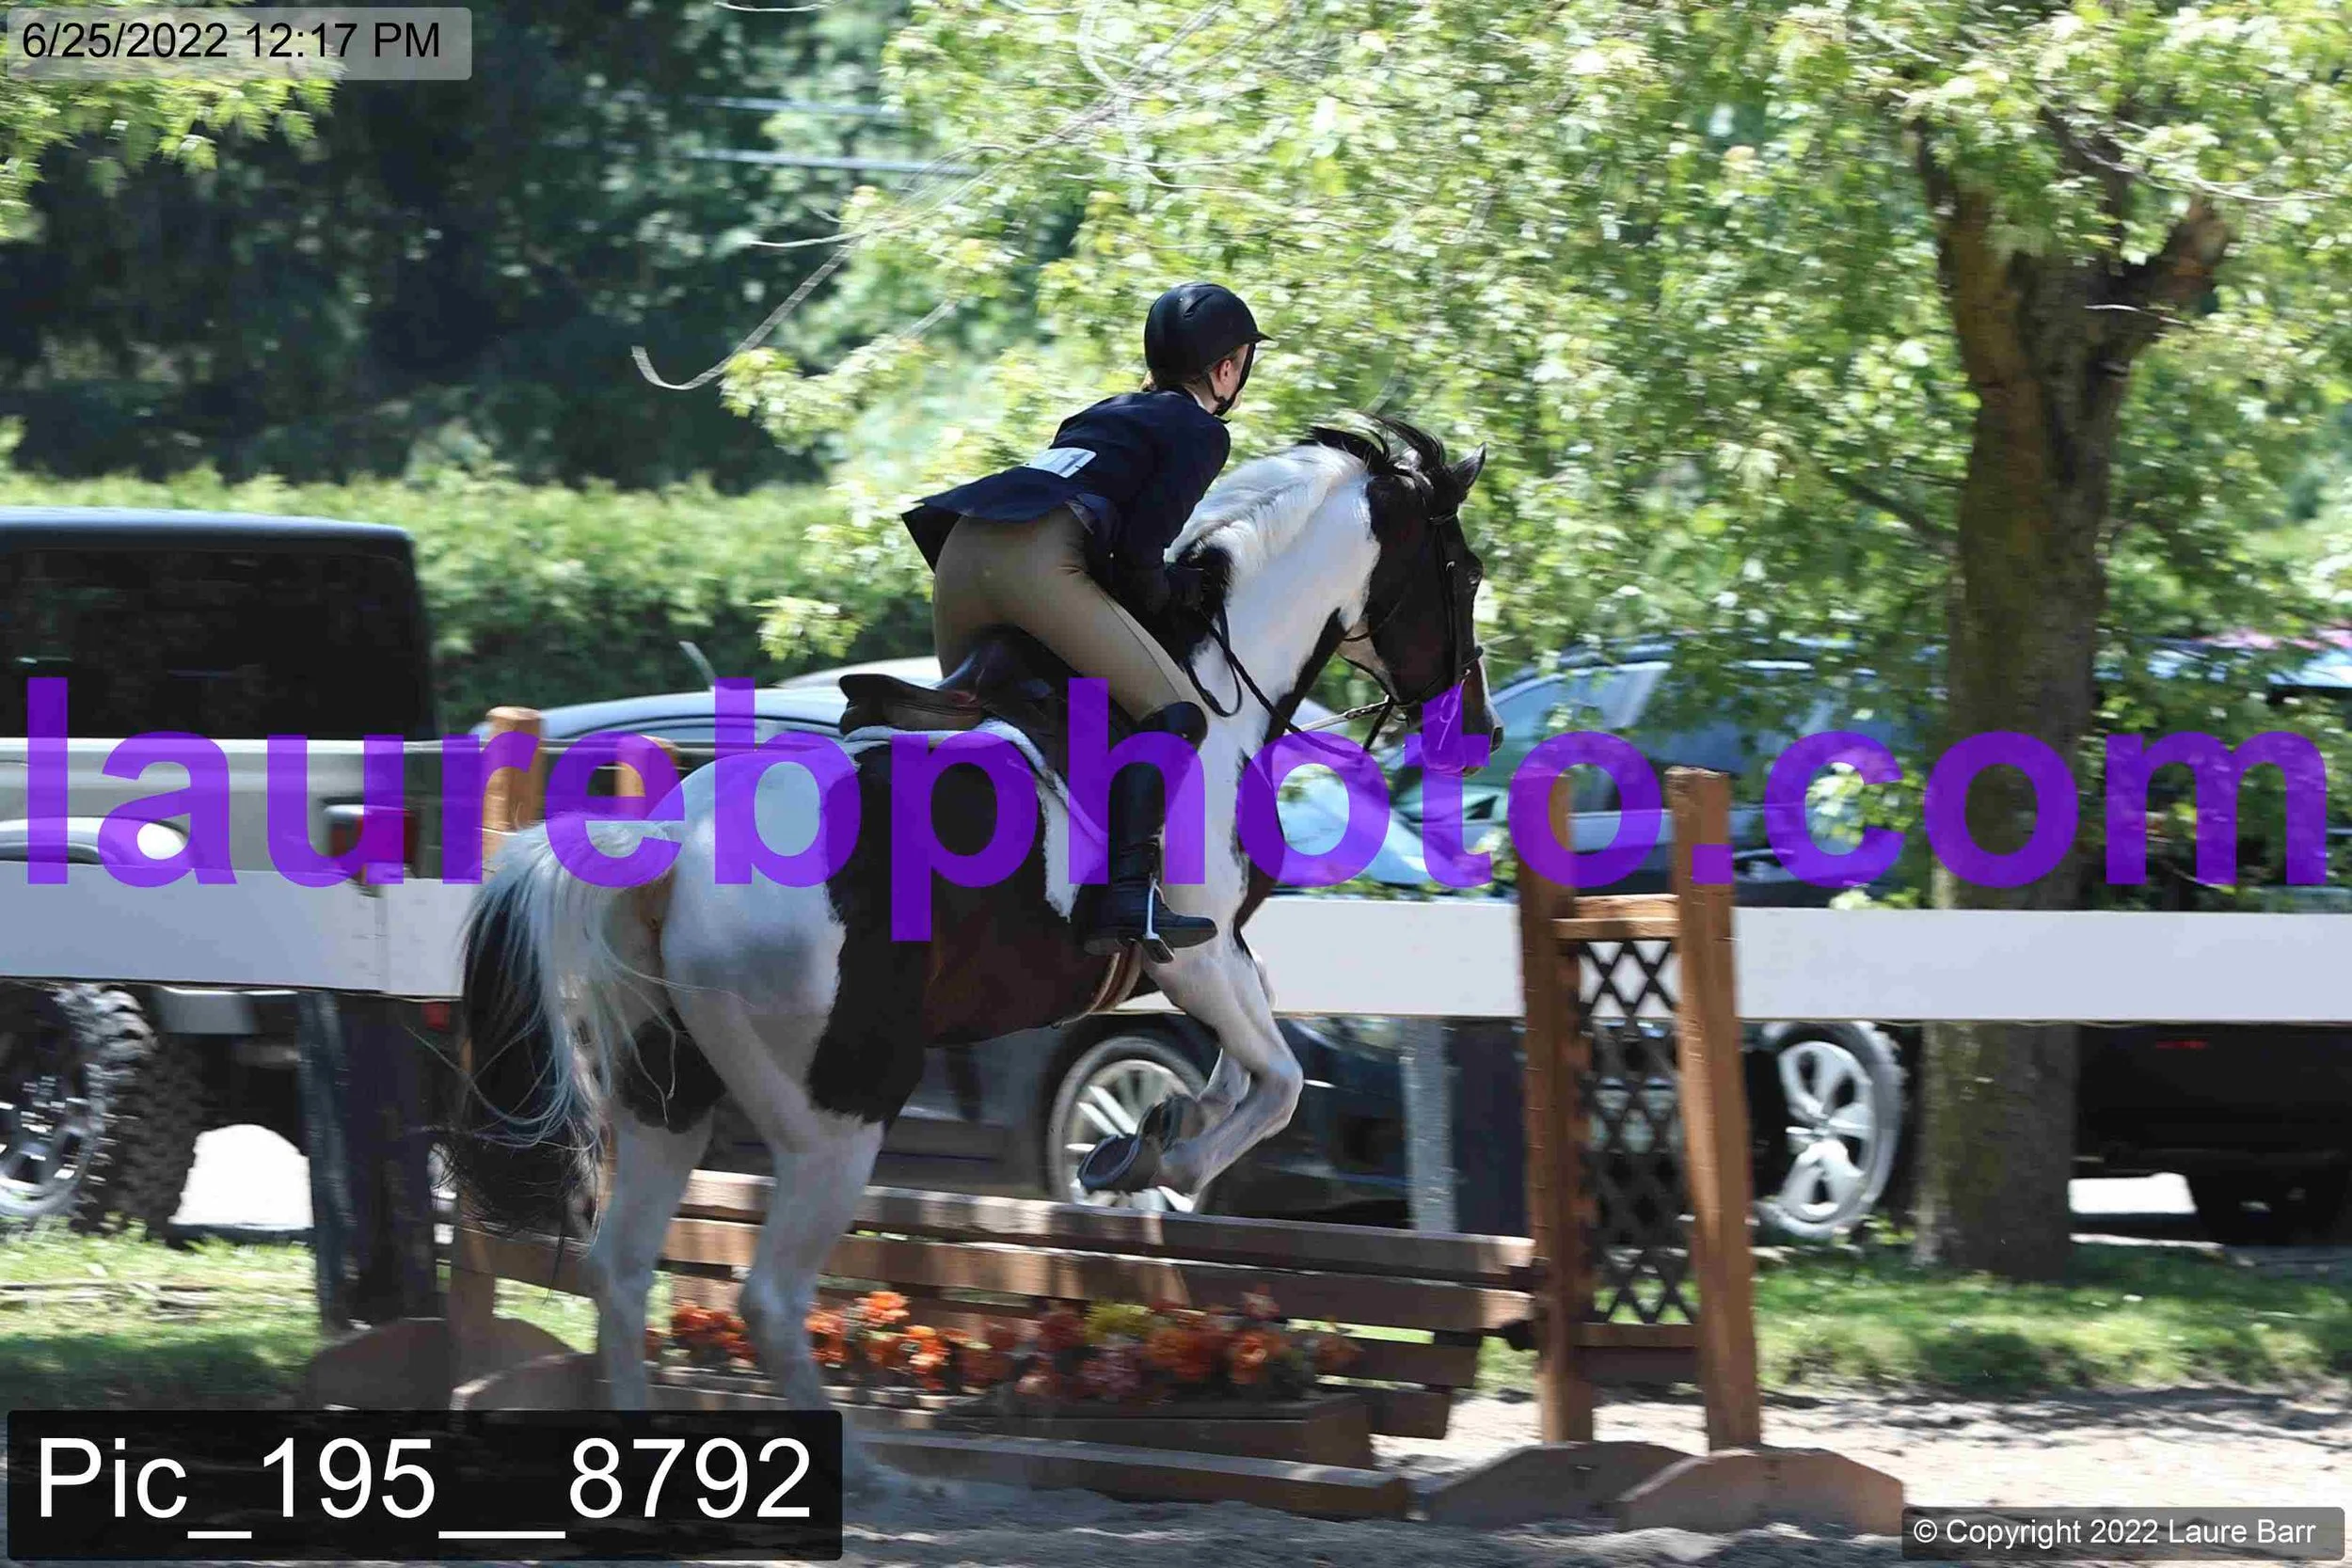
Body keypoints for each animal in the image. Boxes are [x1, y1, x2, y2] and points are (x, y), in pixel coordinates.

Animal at [448, 415, 1500, 1485]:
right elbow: (1278, 1081)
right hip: (837, 1112)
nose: (1480, 727)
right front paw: (1162, 1157)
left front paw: (1153, 1130)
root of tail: (669, 844)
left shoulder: (1209, 957)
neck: (1216, 683)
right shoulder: (1190, 951)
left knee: (621, 1274)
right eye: (1462, 570)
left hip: (668, 1093)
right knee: (768, 1295)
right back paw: (868, 1470)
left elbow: (1251, 1055)